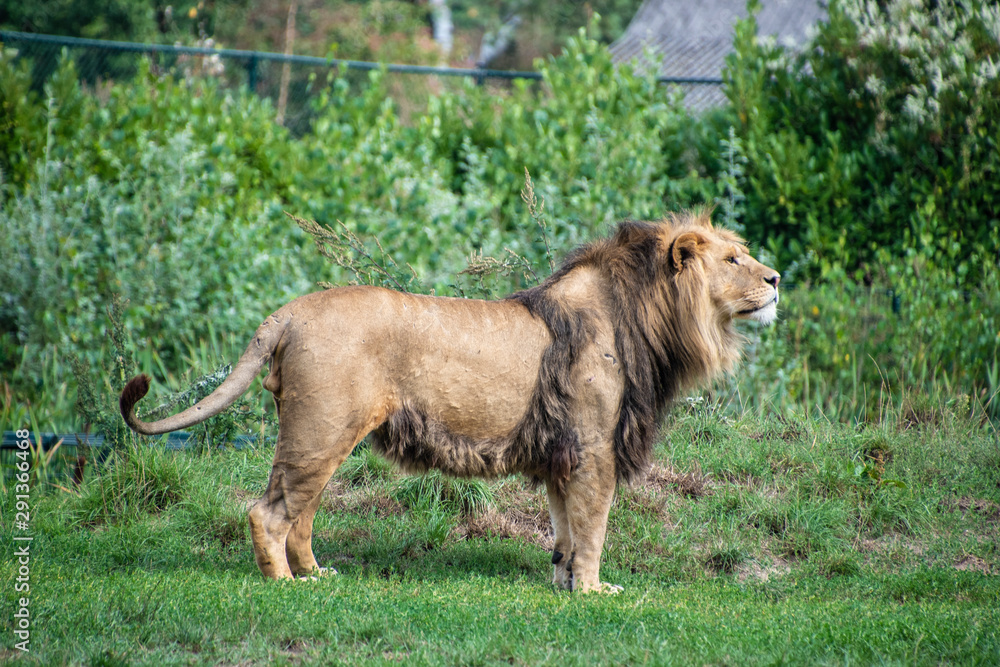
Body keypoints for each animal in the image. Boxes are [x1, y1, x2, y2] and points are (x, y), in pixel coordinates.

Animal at [119, 210, 779, 593]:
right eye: (733, 259)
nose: (775, 280)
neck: (649, 316)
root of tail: (288, 312)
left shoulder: (564, 454)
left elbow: (564, 530)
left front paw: (564, 585)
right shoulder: (593, 449)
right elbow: (593, 527)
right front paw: (594, 593)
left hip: (322, 437)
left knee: (299, 515)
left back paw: (316, 574)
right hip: (320, 430)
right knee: (269, 512)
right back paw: (285, 586)